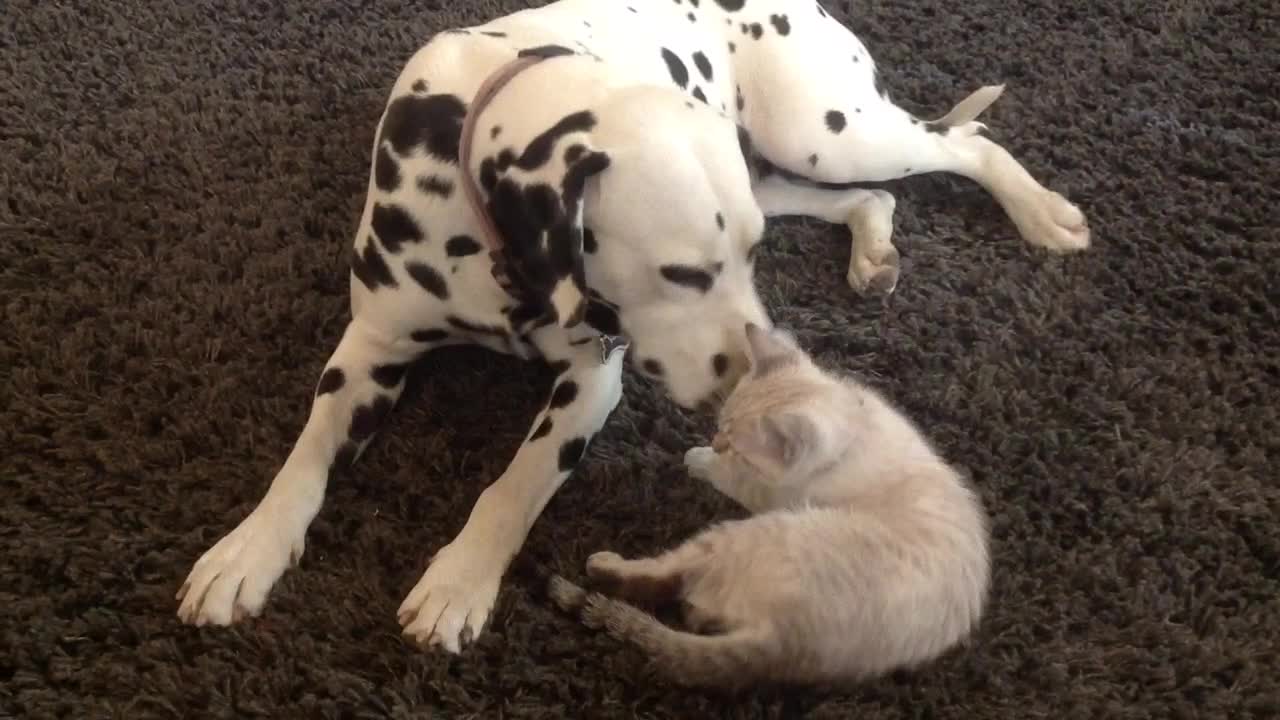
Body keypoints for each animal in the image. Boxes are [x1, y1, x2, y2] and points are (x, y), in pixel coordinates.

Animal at [547, 322, 988, 686]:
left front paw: (700, 458)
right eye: (720, 424)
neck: (853, 428)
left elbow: (732, 478)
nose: (716, 442)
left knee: (665, 576)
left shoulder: (767, 493)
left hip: (746, 532)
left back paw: (606, 565)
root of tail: (787, 641)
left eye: (732, 445)